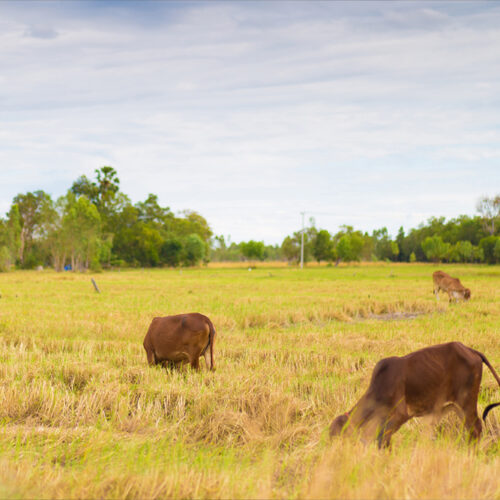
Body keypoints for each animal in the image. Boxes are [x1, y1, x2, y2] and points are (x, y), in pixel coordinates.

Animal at [330, 342, 498, 448]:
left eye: (336, 435)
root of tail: (470, 350)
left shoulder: (401, 414)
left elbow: (382, 438)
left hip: (467, 401)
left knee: (476, 428)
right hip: (458, 406)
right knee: (470, 429)